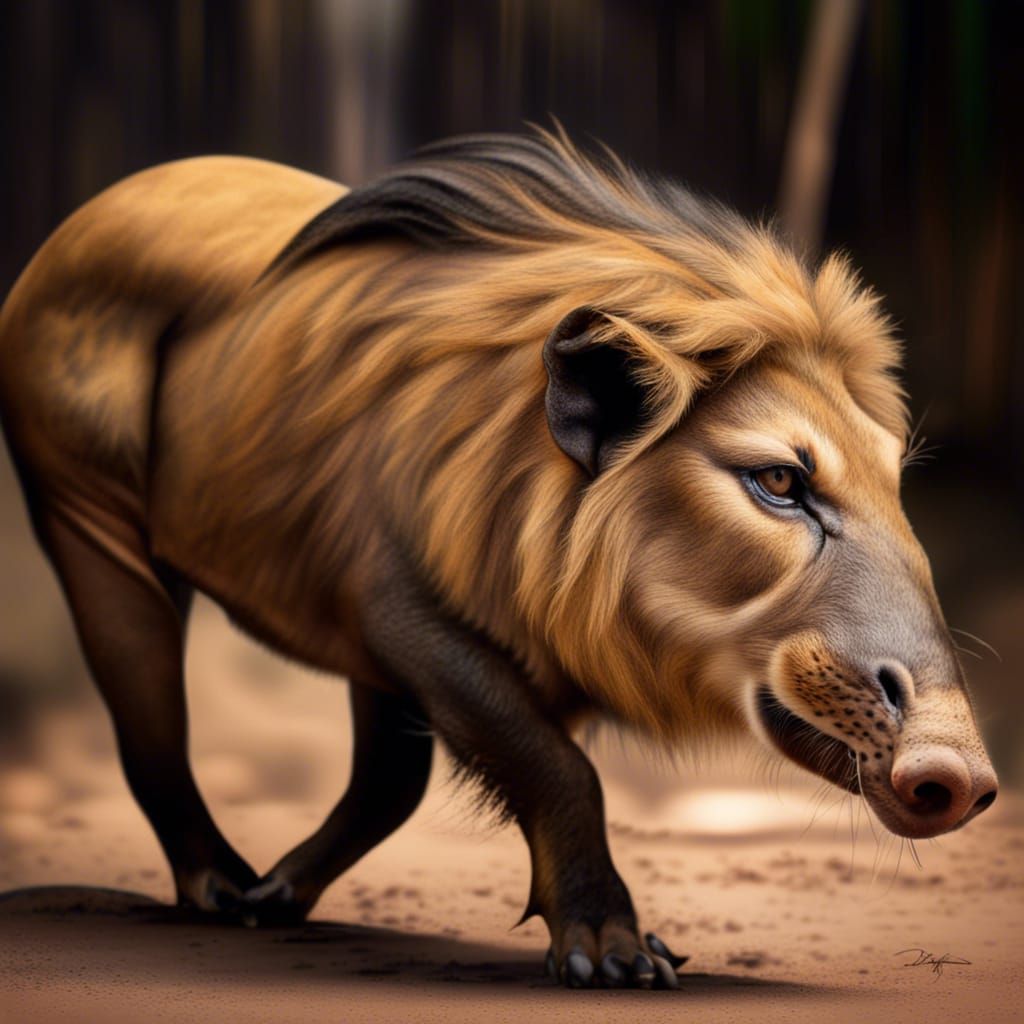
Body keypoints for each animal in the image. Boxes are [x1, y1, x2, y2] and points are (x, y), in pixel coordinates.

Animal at [0, 127, 998, 989]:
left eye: (893, 480)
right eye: (781, 482)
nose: (960, 773)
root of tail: (112, 196)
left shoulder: (399, 640)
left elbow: (432, 776)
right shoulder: (404, 616)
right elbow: (558, 770)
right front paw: (611, 949)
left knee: (379, 780)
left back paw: (272, 895)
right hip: (93, 526)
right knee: (151, 728)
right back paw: (220, 890)